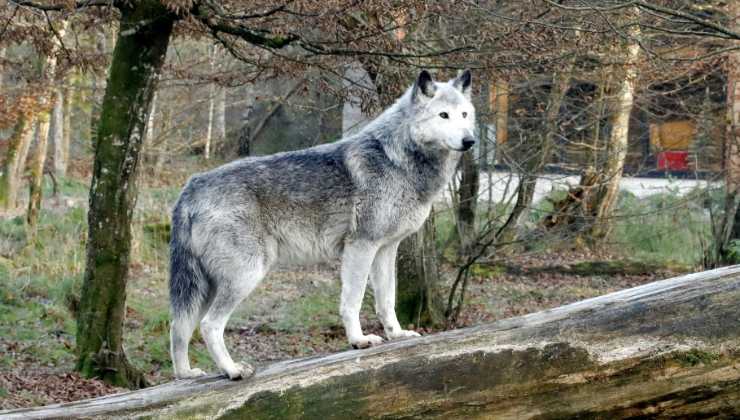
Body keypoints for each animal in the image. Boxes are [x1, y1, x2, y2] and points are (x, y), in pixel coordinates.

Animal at [169, 69, 476, 380]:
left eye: (464, 114)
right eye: (443, 115)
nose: (470, 140)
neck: (397, 158)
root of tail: (191, 187)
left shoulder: (386, 250)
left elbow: (386, 301)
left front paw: (396, 334)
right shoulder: (360, 246)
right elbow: (352, 301)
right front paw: (359, 340)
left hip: (204, 287)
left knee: (178, 326)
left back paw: (186, 374)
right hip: (244, 276)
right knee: (208, 325)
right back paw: (232, 370)